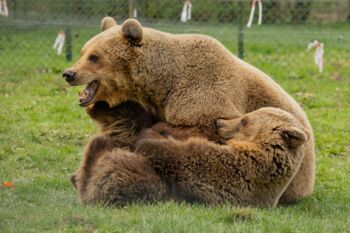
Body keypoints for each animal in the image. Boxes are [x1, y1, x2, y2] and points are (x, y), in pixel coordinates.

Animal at [64, 17, 316, 203]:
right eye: (83, 52)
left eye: (94, 57)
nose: (69, 73)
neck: (163, 83)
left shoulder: (206, 93)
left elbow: (201, 133)